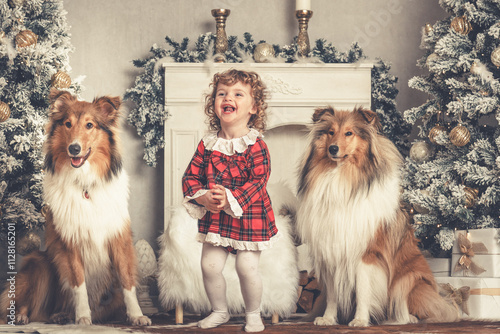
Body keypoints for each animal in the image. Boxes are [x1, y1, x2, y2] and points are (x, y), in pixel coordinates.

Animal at [0, 88, 151, 326]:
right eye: (68, 124)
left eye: (90, 125)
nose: (74, 148)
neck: (84, 183)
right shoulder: (69, 242)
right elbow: (79, 285)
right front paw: (82, 317)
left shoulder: (119, 237)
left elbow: (127, 282)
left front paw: (137, 316)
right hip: (40, 262)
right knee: (25, 303)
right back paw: (26, 316)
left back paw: (60, 315)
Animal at [294, 108, 458, 328]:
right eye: (330, 132)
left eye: (349, 133)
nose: (333, 149)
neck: (341, 178)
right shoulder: (331, 252)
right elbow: (333, 295)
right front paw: (328, 318)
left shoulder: (367, 254)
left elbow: (363, 290)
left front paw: (360, 320)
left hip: (410, 280)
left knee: (427, 309)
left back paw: (405, 318)